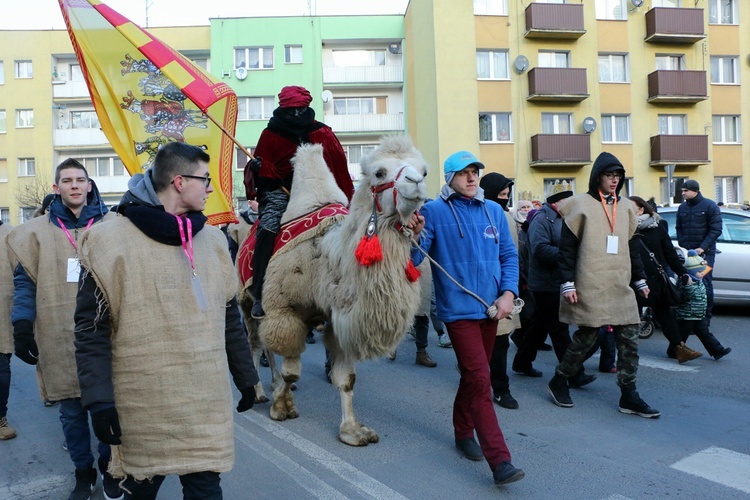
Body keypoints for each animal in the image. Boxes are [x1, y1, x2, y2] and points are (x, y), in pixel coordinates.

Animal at [241, 134, 428, 446]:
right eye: (379, 172)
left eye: (423, 170)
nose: (416, 183)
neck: (328, 260)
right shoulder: (284, 309)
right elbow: (292, 372)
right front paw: (282, 407)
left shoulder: (337, 317)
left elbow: (346, 378)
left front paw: (352, 430)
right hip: (247, 300)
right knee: (255, 343)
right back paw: (258, 392)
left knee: (266, 346)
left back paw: (271, 384)